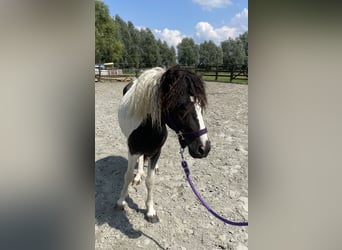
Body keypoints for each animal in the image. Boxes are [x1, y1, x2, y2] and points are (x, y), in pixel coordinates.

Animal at [116, 65, 210, 223]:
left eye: (200, 106)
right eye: (181, 108)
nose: (204, 148)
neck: (147, 127)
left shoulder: (156, 151)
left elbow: (150, 181)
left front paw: (150, 212)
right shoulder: (133, 150)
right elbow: (127, 176)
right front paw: (121, 202)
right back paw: (138, 176)